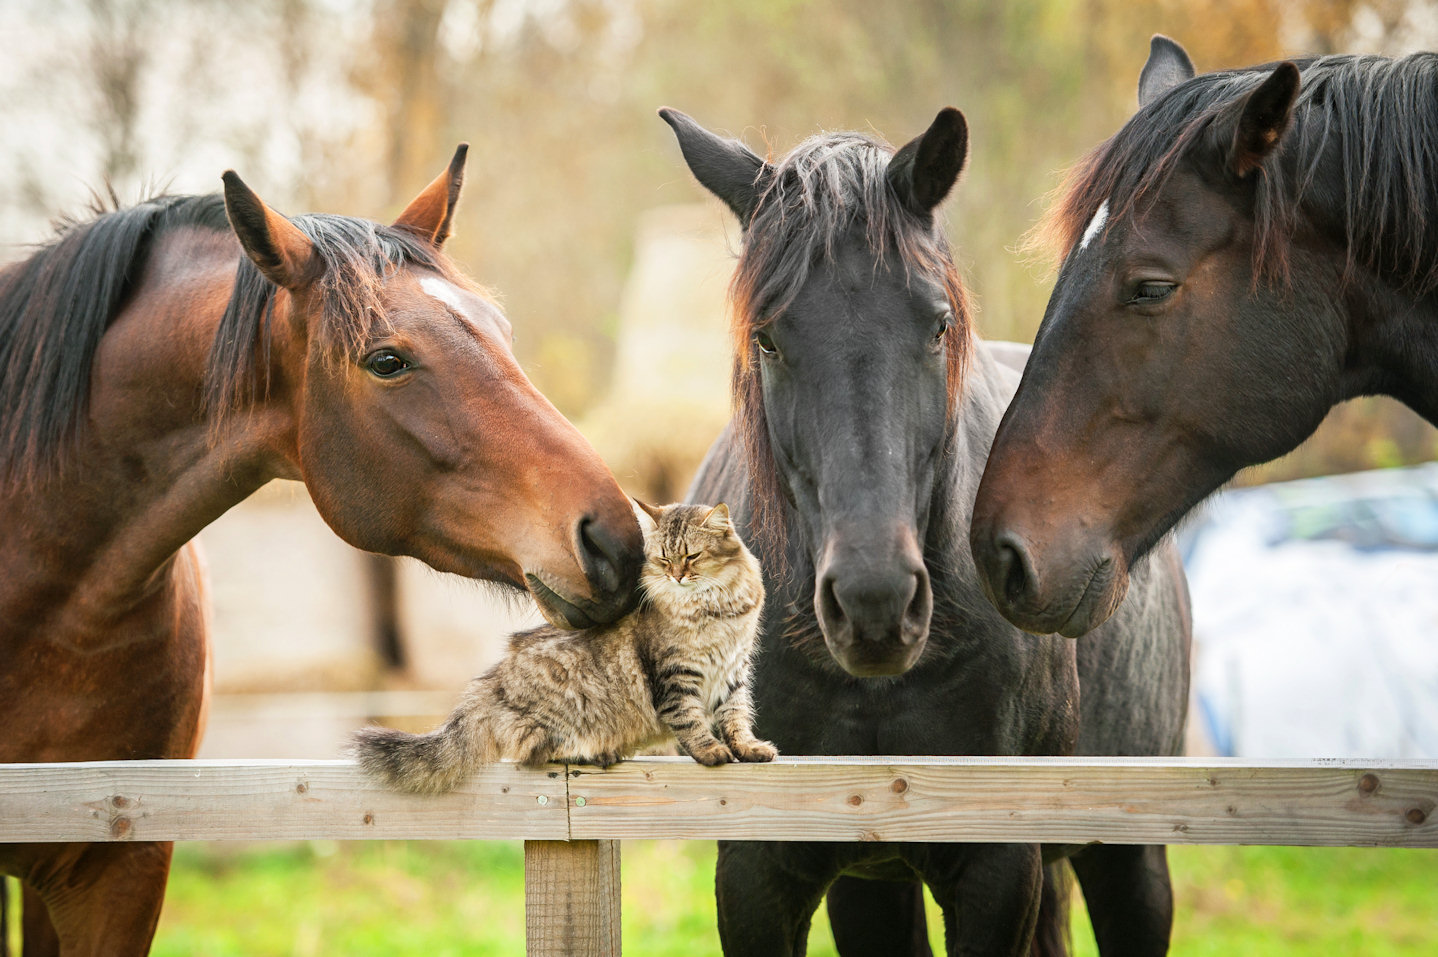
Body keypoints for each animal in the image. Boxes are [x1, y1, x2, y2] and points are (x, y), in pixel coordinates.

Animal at [353, 494, 776, 793]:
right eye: (662, 559)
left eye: (692, 556)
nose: (676, 576)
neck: (717, 609)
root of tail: (491, 686)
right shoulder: (675, 677)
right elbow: (691, 721)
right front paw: (712, 752)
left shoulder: (734, 671)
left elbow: (736, 718)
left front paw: (749, 749)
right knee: (531, 752)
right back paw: (594, 752)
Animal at [661, 106, 1190, 954]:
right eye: (768, 336)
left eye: (938, 323)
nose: (874, 602)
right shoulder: (756, 867)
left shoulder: (998, 869)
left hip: (1129, 862)